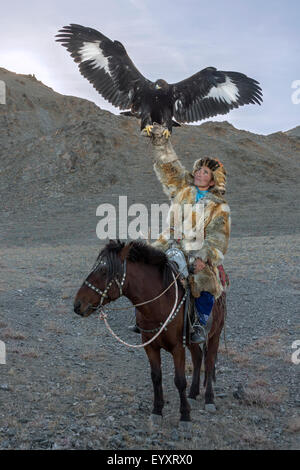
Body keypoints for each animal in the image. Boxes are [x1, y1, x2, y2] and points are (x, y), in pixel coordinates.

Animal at [74, 241, 225, 424]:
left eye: (104, 271)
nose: (77, 305)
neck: (159, 305)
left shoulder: (177, 348)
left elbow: (180, 380)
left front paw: (185, 415)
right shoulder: (150, 346)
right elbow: (156, 377)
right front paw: (157, 410)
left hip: (215, 335)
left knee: (209, 363)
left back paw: (209, 400)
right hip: (190, 341)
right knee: (197, 357)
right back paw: (193, 394)